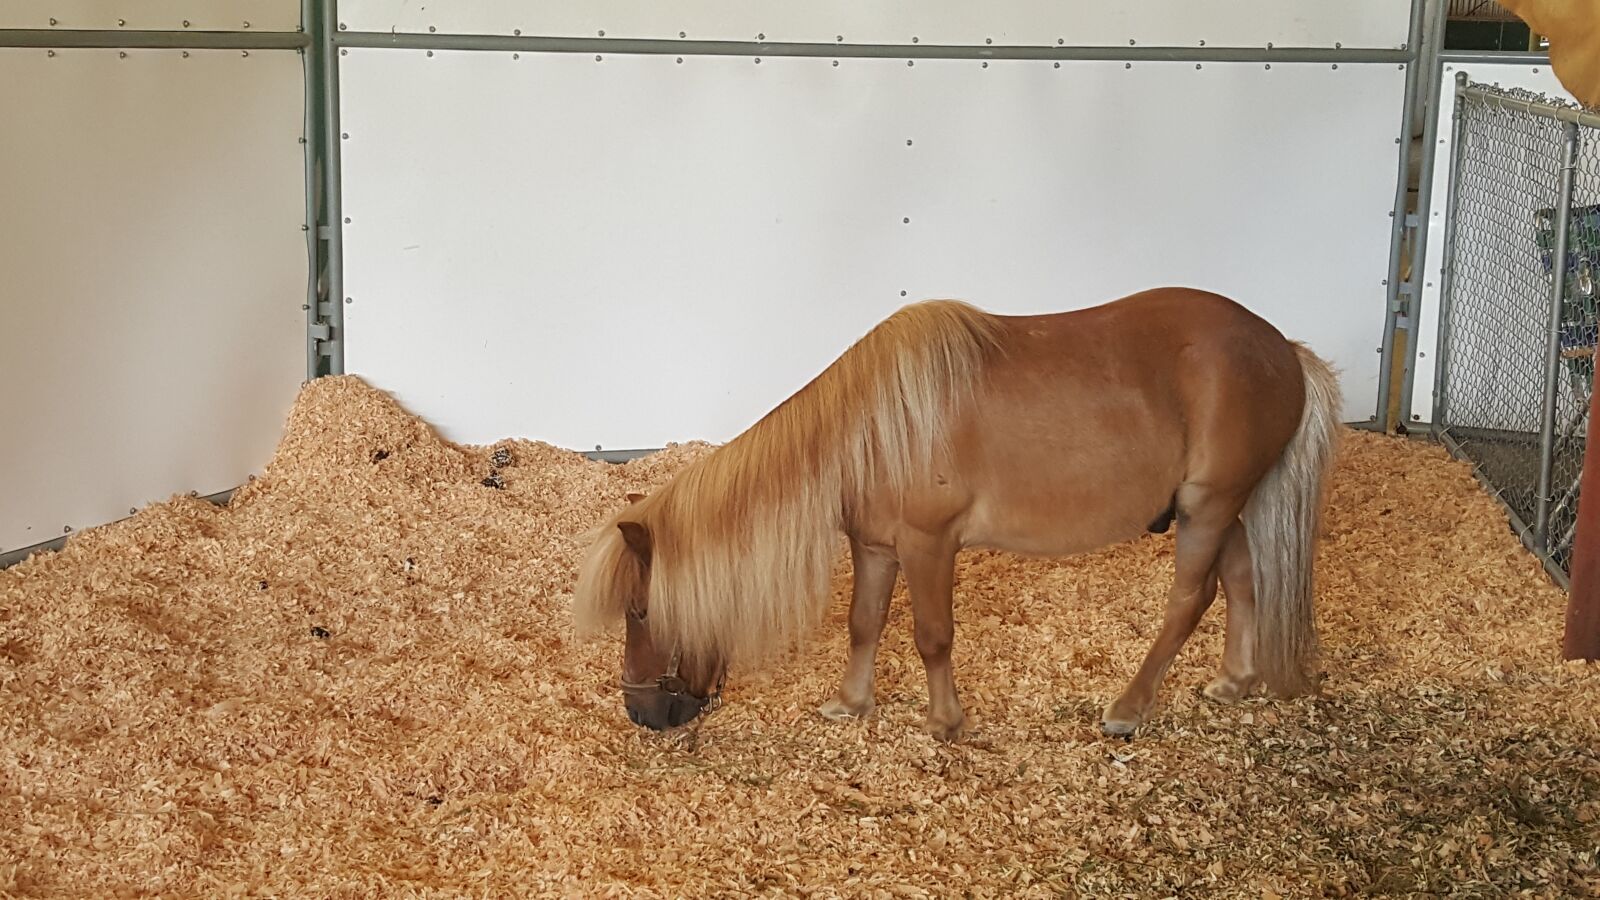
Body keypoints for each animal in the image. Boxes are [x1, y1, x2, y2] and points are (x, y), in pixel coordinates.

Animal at [573, 286, 1342, 740]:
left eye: (639, 611)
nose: (640, 711)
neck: (873, 429)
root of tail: (1285, 352)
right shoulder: (876, 548)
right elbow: (865, 625)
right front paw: (851, 704)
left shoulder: (929, 543)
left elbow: (931, 635)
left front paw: (945, 722)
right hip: (1221, 508)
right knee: (1242, 582)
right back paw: (1234, 682)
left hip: (1209, 508)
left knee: (1190, 600)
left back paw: (1127, 711)